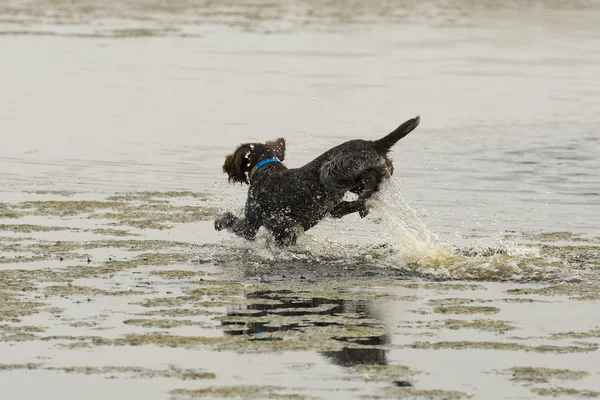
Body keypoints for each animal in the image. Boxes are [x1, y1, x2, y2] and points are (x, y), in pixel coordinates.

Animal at [217, 116, 422, 247]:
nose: (224, 164)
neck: (266, 169)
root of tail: (375, 143)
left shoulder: (250, 224)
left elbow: (232, 222)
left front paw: (219, 220)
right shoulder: (284, 232)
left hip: (331, 171)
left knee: (367, 188)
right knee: (368, 194)